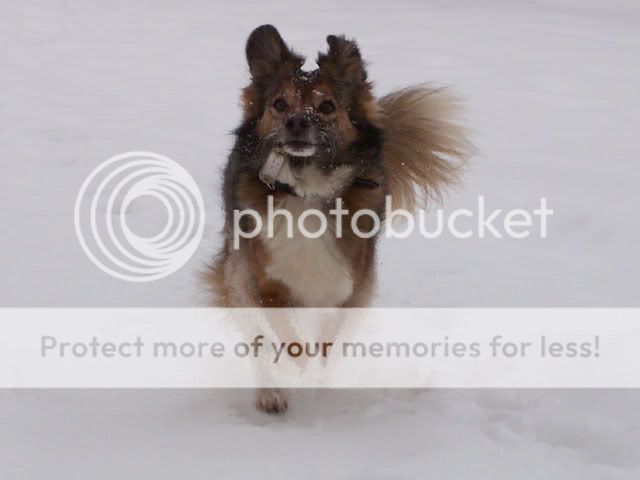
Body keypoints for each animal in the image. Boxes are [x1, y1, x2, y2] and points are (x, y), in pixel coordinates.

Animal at [206, 25, 472, 413]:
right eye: (279, 104)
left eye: (327, 106)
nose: (296, 122)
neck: (306, 189)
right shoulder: (262, 281)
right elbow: (283, 334)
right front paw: (297, 365)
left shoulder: (349, 284)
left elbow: (330, 336)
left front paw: (317, 367)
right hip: (236, 272)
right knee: (257, 339)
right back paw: (270, 393)